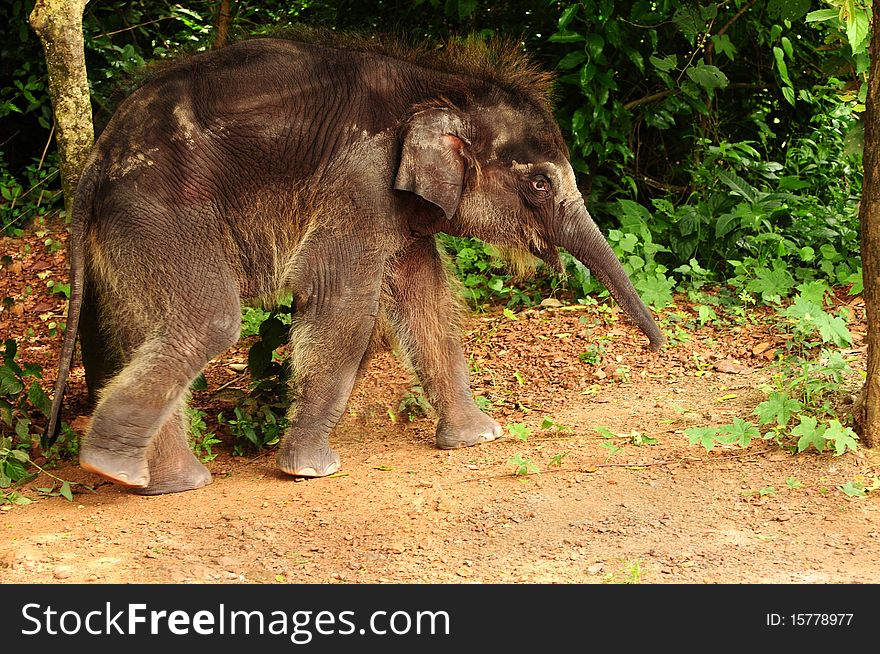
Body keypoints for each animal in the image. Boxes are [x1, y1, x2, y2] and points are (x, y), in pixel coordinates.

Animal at [46, 33, 668, 494]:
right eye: (539, 183)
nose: (659, 348)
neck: (441, 86)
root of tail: (98, 155)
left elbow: (426, 297)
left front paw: (477, 439)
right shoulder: (361, 177)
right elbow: (337, 297)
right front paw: (310, 470)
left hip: (130, 230)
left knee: (143, 327)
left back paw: (167, 482)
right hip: (160, 212)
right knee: (210, 319)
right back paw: (112, 466)